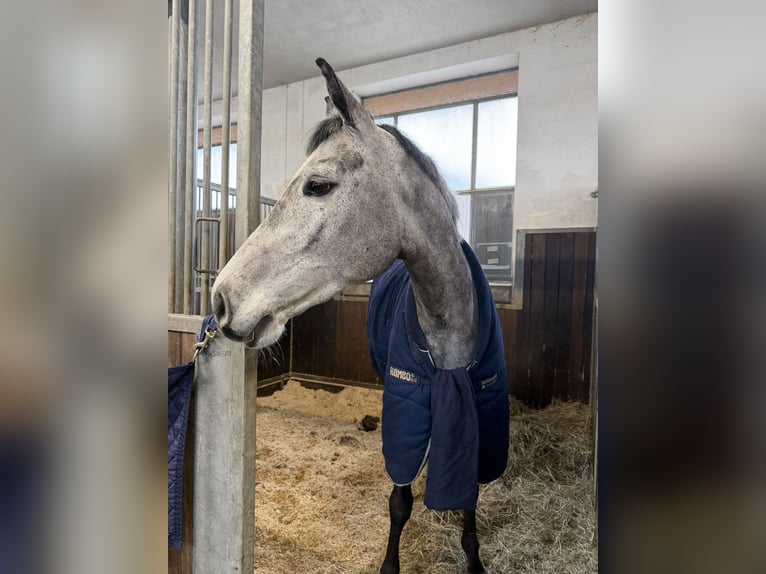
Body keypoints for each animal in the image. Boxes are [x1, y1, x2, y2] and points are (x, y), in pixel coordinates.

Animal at [212, 58, 509, 574]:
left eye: (317, 185)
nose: (221, 299)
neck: (451, 331)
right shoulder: (405, 414)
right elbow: (400, 501)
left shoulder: (483, 414)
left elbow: (469, 495)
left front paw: (473, 560)